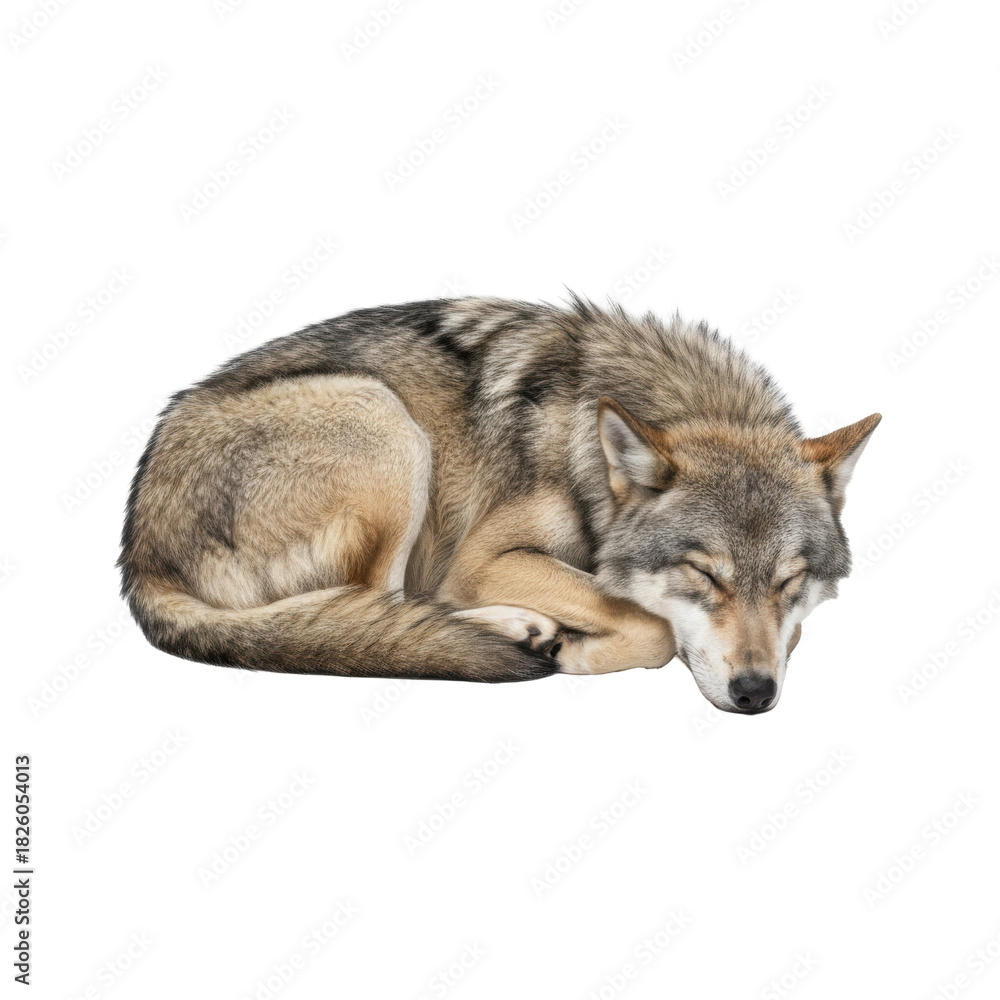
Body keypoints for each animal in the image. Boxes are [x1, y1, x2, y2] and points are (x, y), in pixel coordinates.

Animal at [119, 297, 879, 713]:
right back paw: (520, 632)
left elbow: (783, 637)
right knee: (379, 603)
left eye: (789, 583)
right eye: (703, 576)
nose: (755, 695)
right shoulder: (484, 559)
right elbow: (653, 627)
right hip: (387, 423)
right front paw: (576, 652)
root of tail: (137, 554)